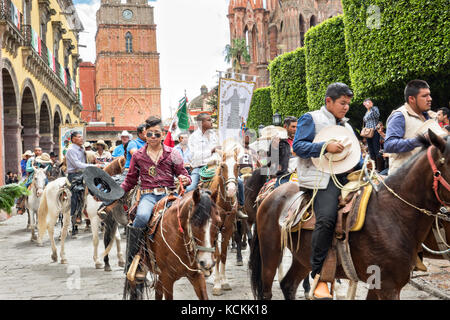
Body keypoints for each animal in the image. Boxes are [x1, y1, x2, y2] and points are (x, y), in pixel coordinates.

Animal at [248, 131, 448, 300]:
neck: (393, 213)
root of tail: (270, 195)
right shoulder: (387, 285)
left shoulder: (379, 284)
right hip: (271, 251)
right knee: (267, 290)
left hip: (302, 257)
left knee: (288, 284)